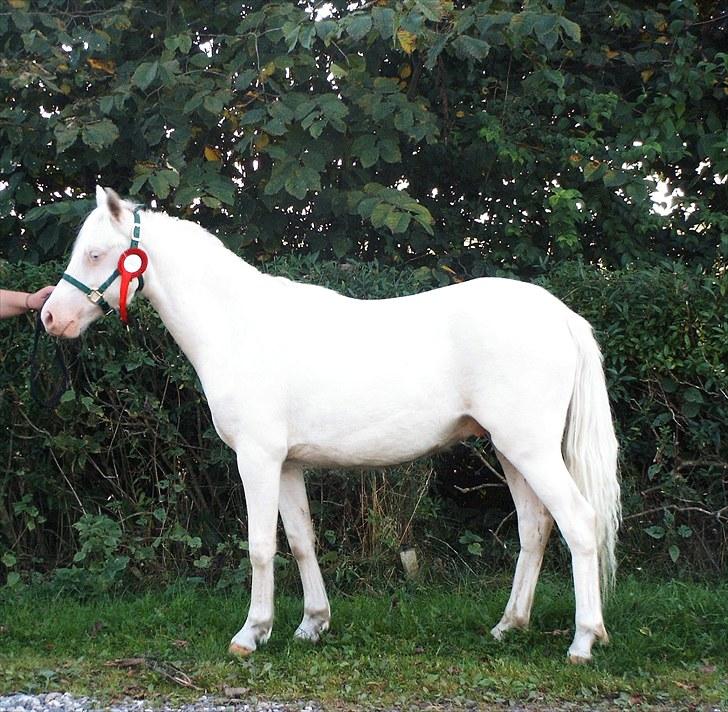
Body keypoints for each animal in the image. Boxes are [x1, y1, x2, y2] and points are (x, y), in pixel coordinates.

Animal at [41, 186, 620, 663]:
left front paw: (249, 635)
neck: (238, 327)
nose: (50, 317)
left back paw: (583, 640)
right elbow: (301, 540)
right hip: (510, 450)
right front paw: (310, 625)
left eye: (96, 254)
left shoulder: (256, 458)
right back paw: (508, 626)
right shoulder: (287, 463)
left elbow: (260, 545)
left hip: (530, 449)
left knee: (577, 522)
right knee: (535, 528)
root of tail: (561, 316)